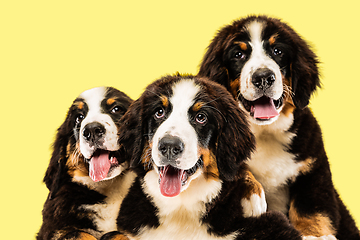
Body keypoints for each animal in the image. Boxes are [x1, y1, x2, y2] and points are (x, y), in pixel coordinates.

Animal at [37, 86, 135, 240]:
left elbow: (118, 234)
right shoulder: (53, 229)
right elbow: (78, 233)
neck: (111, 190)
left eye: (116, 109)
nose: (92, 130)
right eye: (79, 118)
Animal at [103, 74, 300, 240]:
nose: (169, 146)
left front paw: (252, 195)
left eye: (201, 117)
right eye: (159, 112)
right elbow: (112, 235)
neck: (180, 207)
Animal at [198, 15, 358, 240]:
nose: (263, 77)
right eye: (238, 54)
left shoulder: (314, 165)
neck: (266, 133)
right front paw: (252, 195)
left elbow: (311, 206)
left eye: (277, 51)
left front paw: (316, 235)